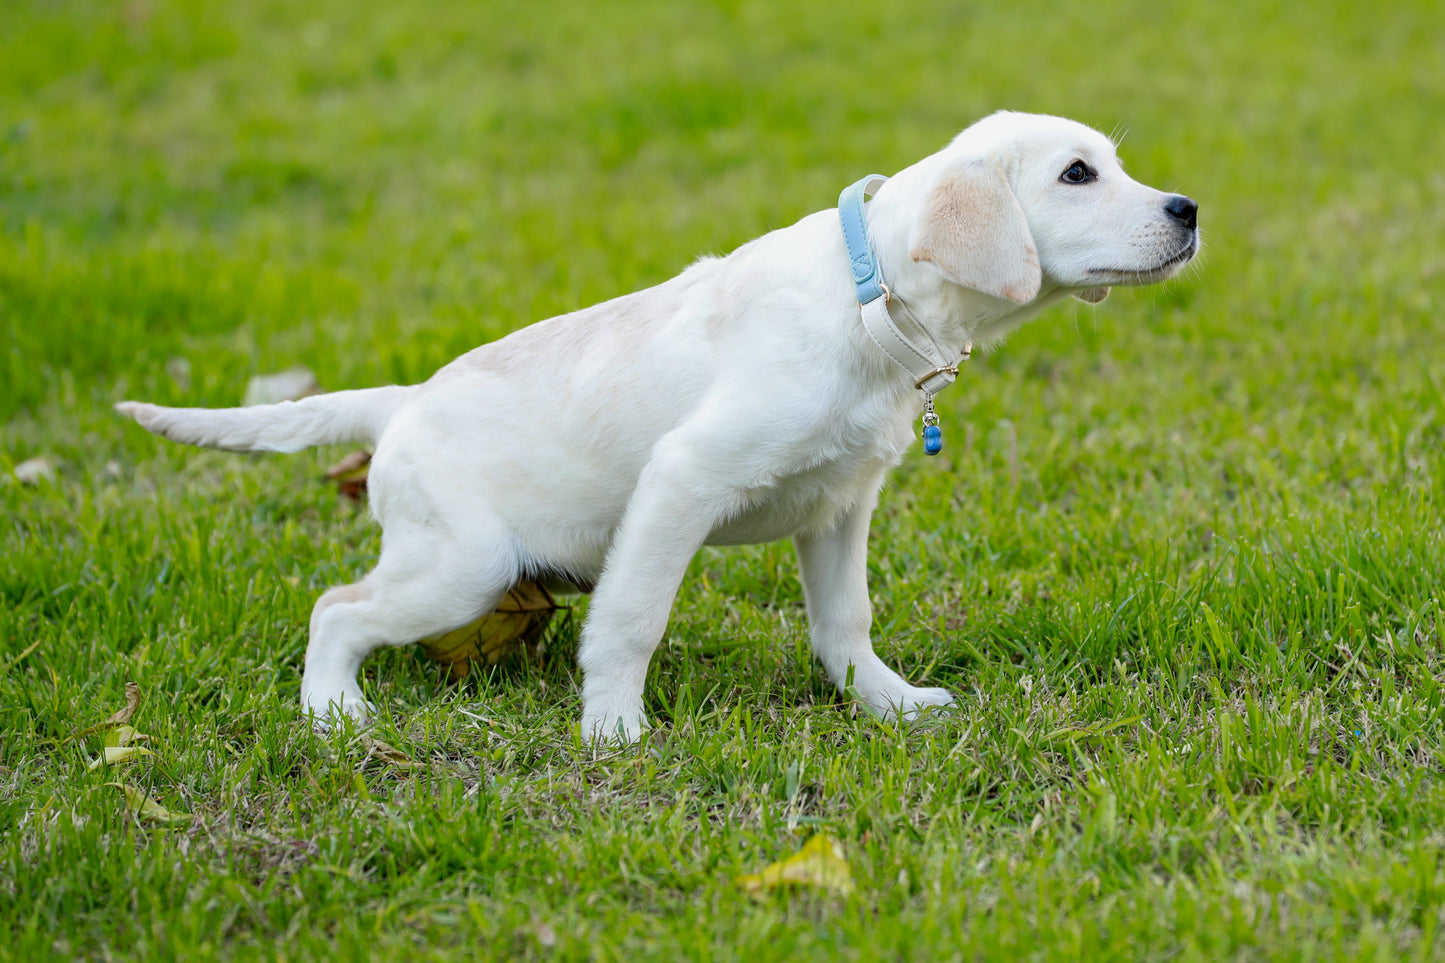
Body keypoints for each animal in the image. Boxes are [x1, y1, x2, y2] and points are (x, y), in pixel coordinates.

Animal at [115, 114, 1196, 740]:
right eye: (1075, 175)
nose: (1188, 209)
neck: (869, 296)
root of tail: (404, 399)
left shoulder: (838, 507)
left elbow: (845, 617)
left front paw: (882, 702)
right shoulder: (682, 480)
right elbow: (630, 618)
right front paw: (612, 730)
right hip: (461, 564)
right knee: (336, 609)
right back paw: (335, 710)